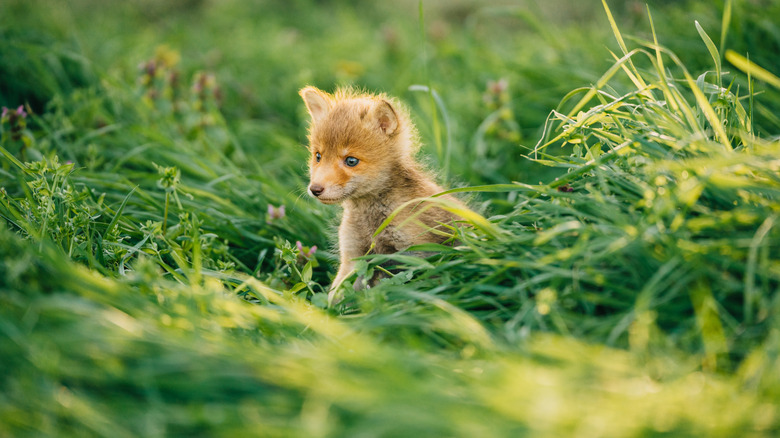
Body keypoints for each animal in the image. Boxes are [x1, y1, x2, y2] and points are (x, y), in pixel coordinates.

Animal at [299, 86, 467, 291]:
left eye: (351, 161)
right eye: (318, 156)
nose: (315, 189)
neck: (372, 224)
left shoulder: (417, 254)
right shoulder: (353, 256)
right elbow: (336, 293)